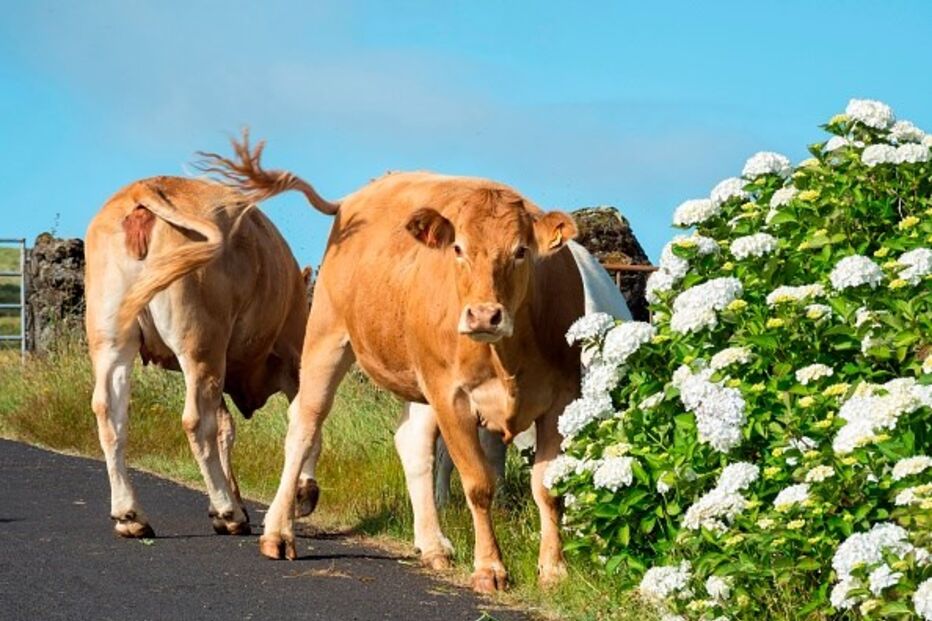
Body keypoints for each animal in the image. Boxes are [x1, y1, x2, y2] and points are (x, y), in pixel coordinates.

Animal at [85, 173, 329, 538]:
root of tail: (145, 187)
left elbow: (226, 428)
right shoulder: (291, 360)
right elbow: (305, 421)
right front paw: (303, 493)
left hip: (113, 341)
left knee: (110, 415)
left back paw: (131, 515)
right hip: (200, 344)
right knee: (197, 422)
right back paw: (228, 512)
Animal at [202, 139, 597, 593]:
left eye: (521, 251)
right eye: (458, 248)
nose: (483, 315)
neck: (507, 355)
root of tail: (359, 195)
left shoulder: (561, 398)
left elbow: (547, 488)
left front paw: (554, 570)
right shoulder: (451, 395)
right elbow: (479, 484)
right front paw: (490, 568)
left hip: (417, 372)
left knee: (411, 443)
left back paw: (433, 545)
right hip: (327, 335)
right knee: (304, 425)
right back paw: (278, 533)